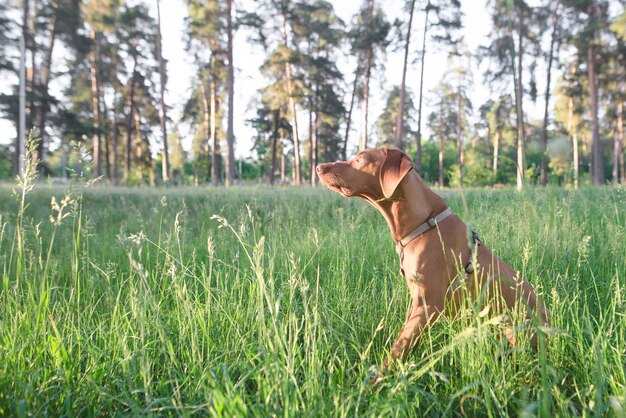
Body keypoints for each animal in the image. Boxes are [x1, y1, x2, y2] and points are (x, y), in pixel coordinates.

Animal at [314, 147, 544, 382]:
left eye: (360, 159)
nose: (319, 167)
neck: (423, 223)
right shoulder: (416, 300)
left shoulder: (428, 304)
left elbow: (399, 349)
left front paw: (376, 382)